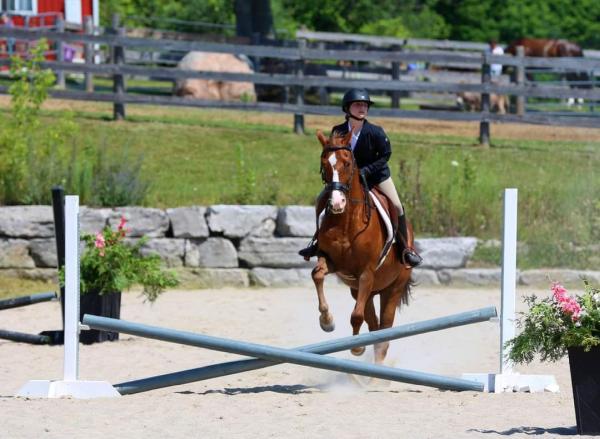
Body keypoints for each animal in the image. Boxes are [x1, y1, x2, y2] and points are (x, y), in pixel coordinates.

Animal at [310, 129, 412, 366]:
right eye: (324, 164)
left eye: (348, 163)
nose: (337, 203)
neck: (346, 220)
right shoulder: (331, 261)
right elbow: (317, 275)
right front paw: (326, 321)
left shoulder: (366, 273)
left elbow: (356, 316)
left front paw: (357, 349)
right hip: (361, 290)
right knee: (373, 324)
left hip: (392, 288)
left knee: (384, 329)